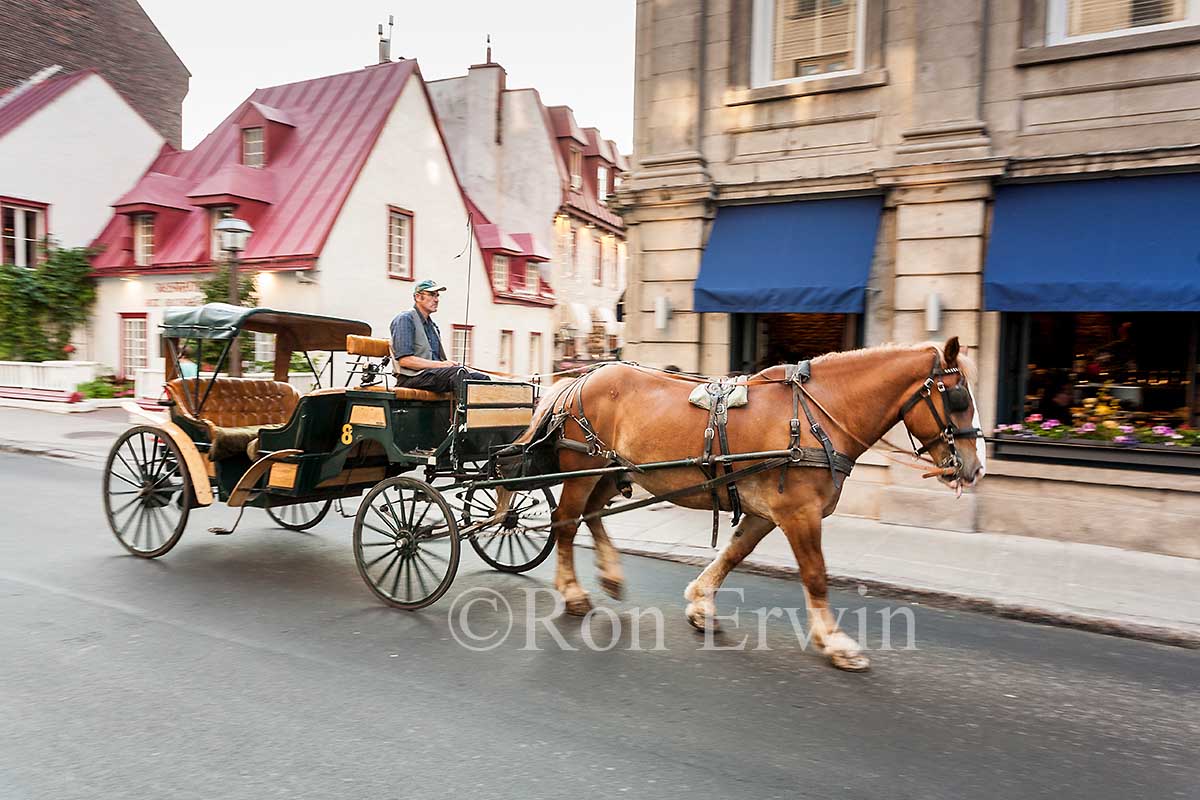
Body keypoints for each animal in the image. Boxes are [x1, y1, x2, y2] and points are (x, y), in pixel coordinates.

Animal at [501, 335, 979, 671]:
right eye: (957, 399)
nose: (973, 468)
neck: (814, 418)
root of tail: (578, 378)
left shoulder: (766, 511)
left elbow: (733, 554)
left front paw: (700, 602)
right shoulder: (799, 513)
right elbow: (816, 576)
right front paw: (836, 642)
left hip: (611, 470)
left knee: (591, 515)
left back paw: (611, 575)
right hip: (584, 468)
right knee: (566, 520)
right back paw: (573, 592)